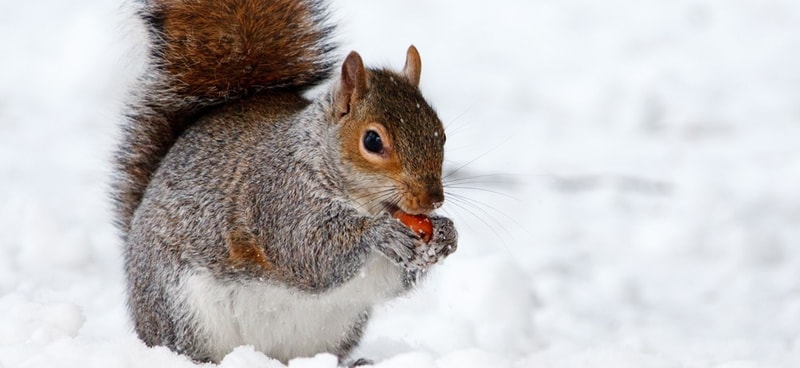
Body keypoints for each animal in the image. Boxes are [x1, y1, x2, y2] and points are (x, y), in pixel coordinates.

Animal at [113, 0, 462, 364]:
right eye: (373, 141)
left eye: (441, 133)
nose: (432, 200)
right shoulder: (277, 198)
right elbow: (307, 251)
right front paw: (381, 233)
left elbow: (394, 279)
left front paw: (445, 234)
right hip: (183, 311)